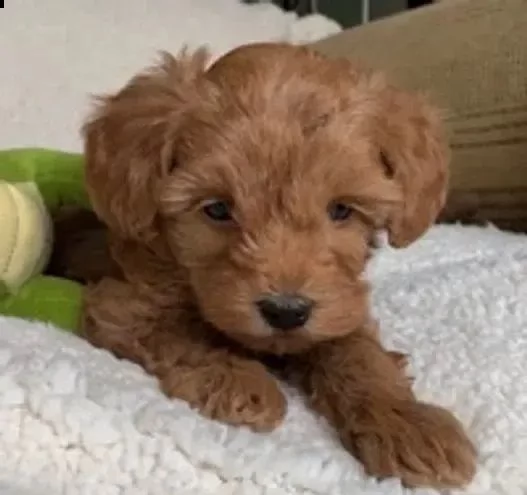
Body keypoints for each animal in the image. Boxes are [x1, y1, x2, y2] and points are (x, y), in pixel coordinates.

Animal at [81, 44, 478, 490]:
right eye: (217, 209)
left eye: (341, 210)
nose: (286, 311)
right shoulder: (123, 306)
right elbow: (179, 334)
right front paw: (235, 381)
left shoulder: (341, 305)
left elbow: (359, 354)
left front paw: (406, 423)